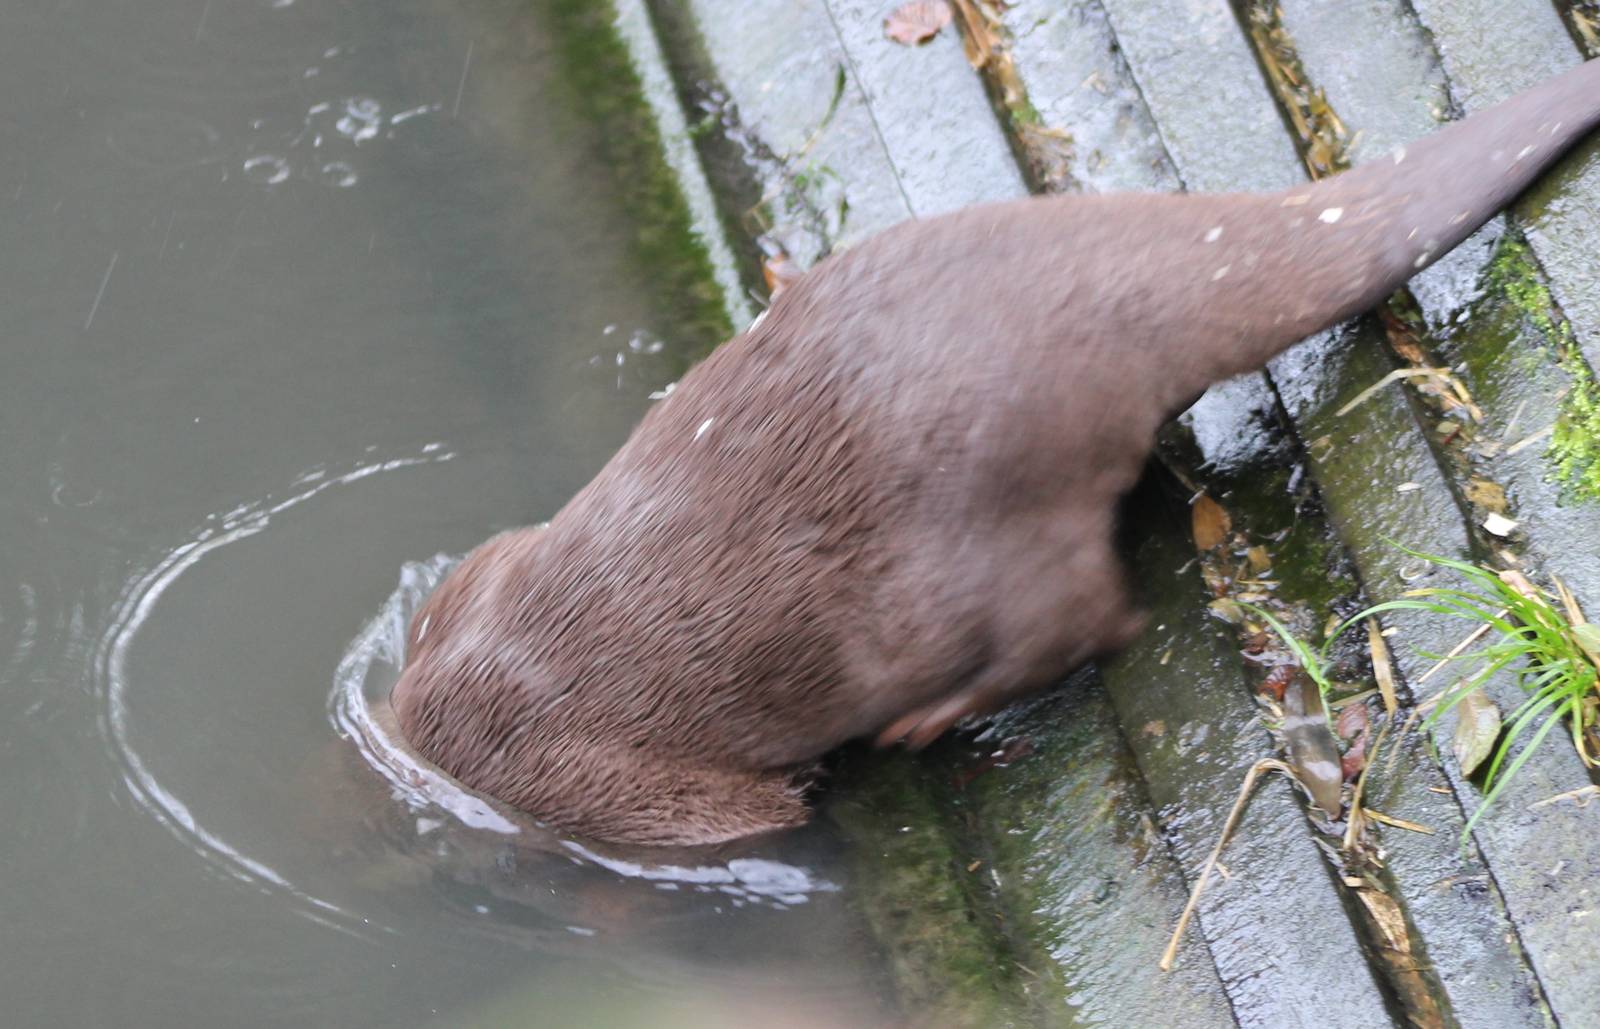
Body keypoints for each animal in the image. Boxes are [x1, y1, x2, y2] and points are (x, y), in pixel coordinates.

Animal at [392, 59, 1600, 846]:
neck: (490, 676)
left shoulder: (599, 785)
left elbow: (743, 818)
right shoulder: (479, 581)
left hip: (992, 533)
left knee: (1087, 620)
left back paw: (934, 717)